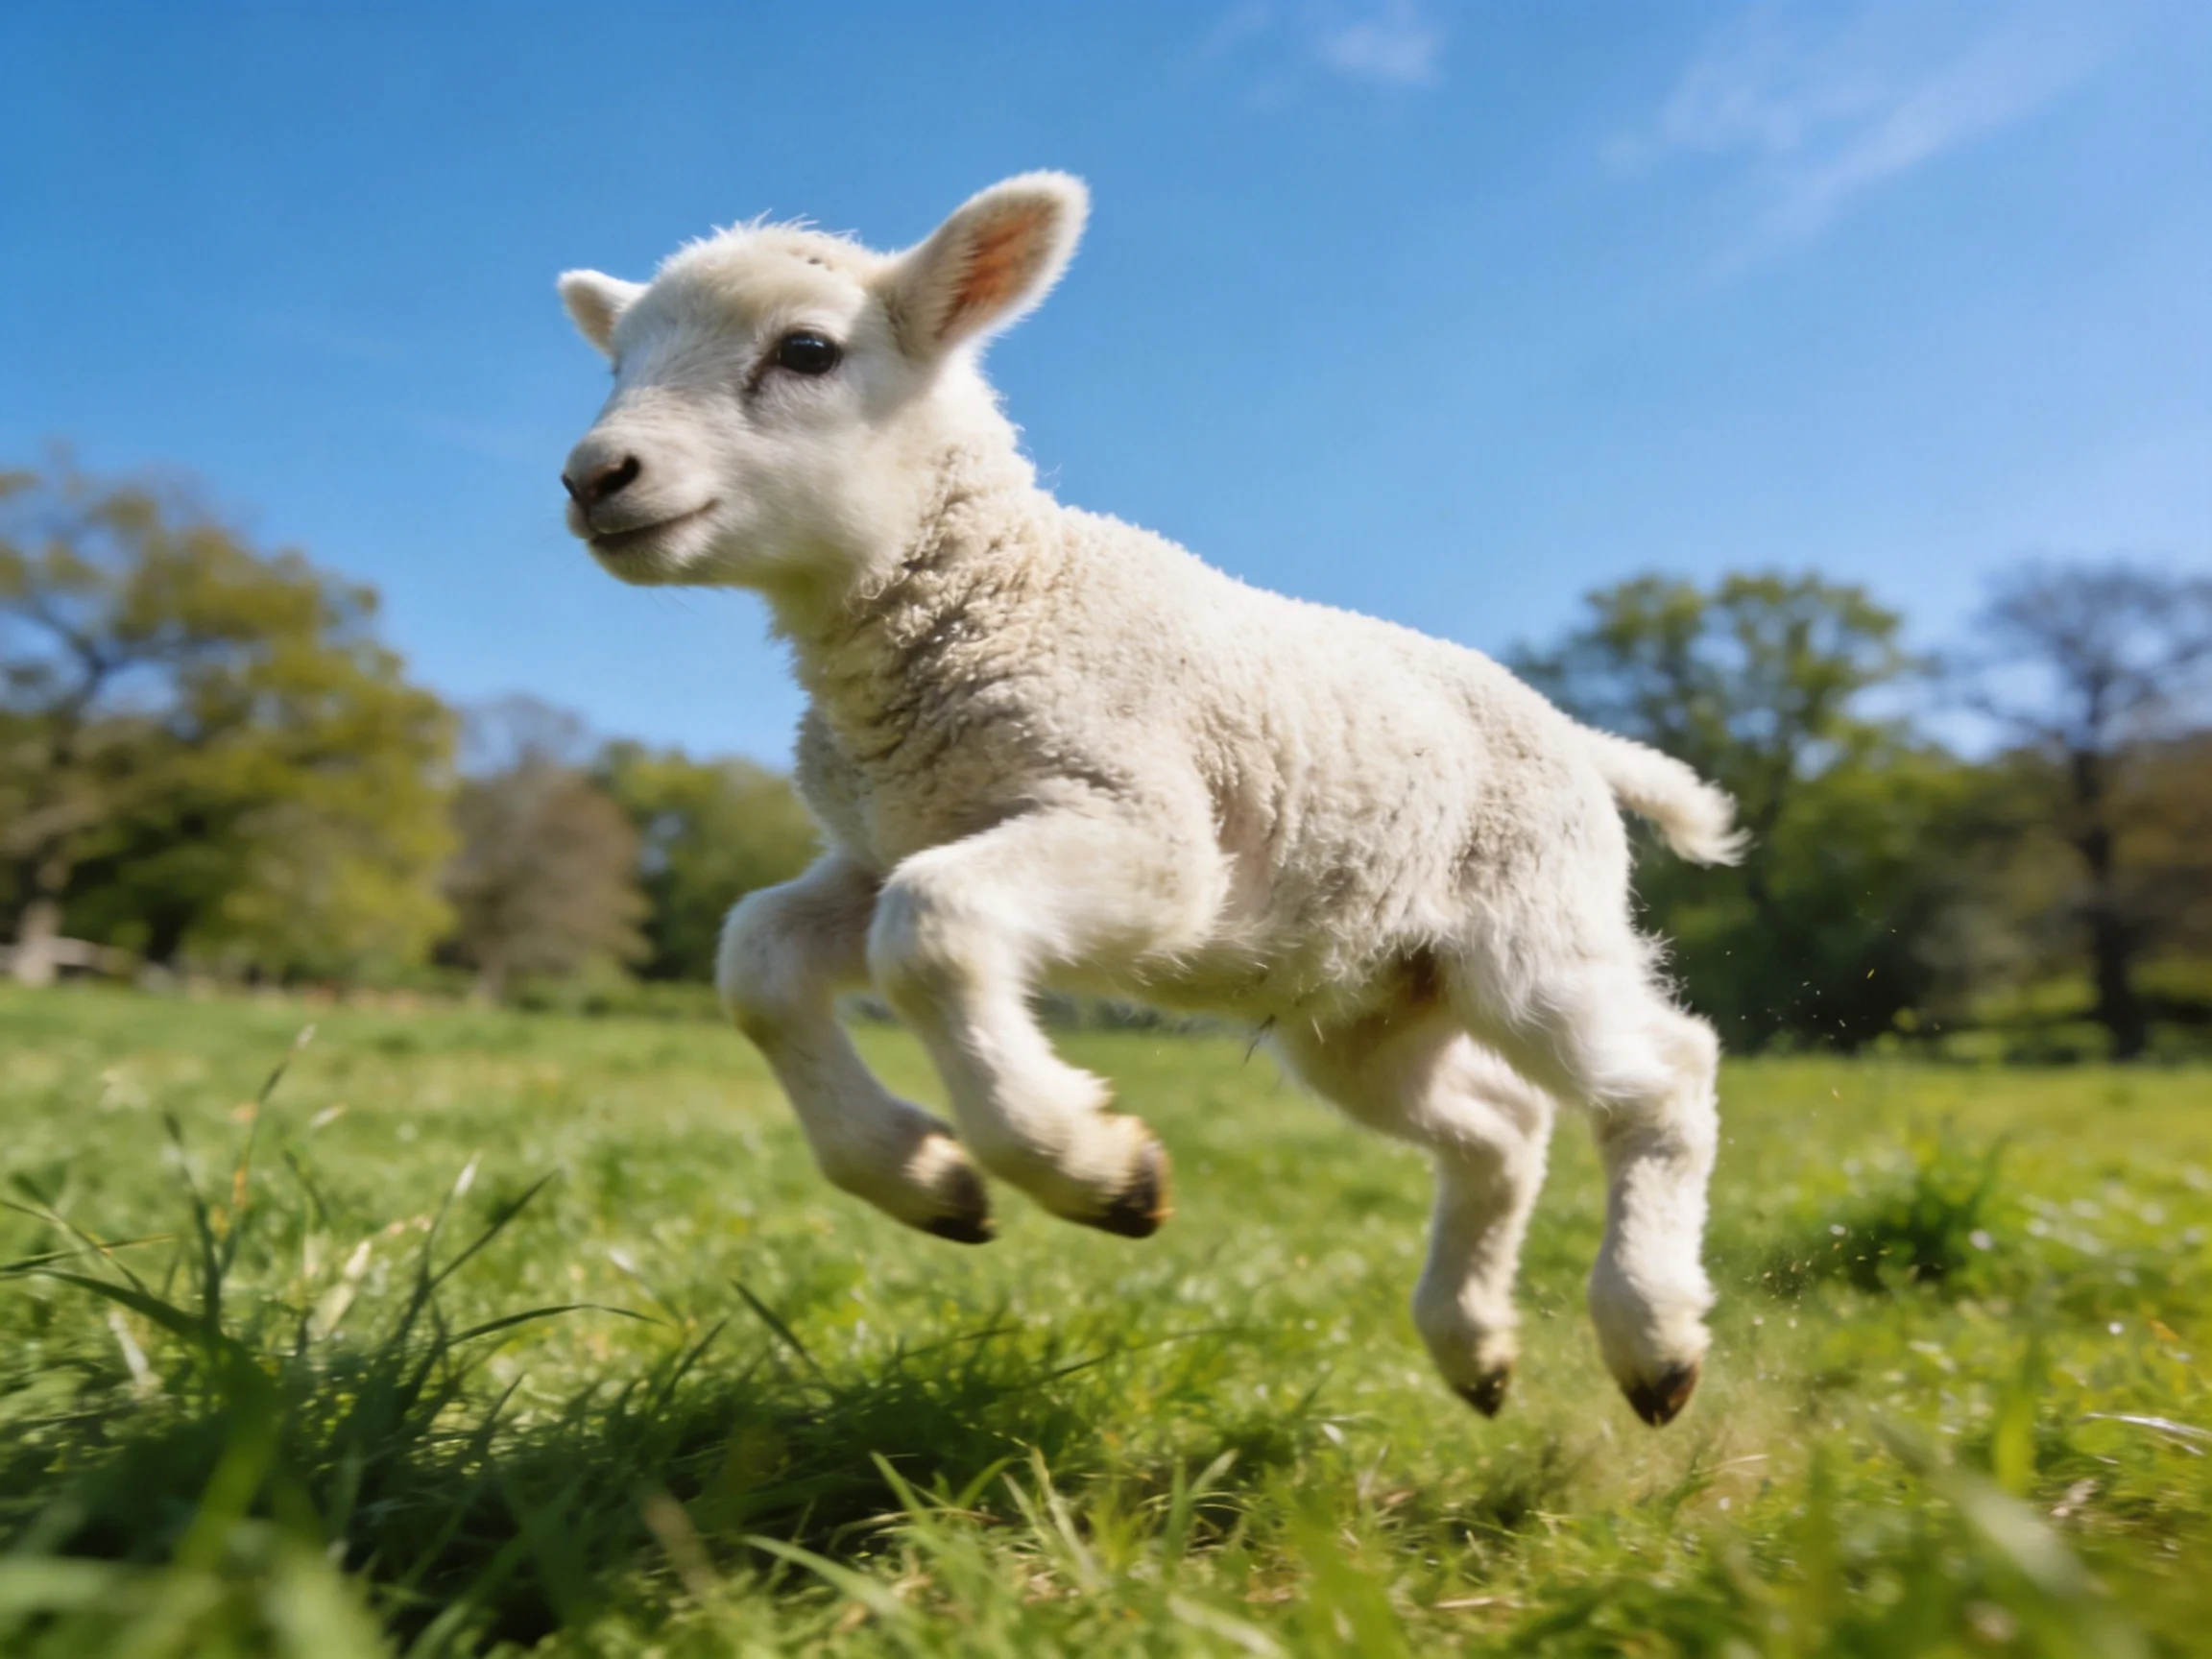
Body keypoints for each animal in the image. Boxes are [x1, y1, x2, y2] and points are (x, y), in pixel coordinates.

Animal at [554, 174, 1745, 1427]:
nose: (594, 477)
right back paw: (1475, 1347)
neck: (995, 593)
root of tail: (1578, 740)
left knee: (1664, 1079)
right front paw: (923, 1180)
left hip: (1532, 927)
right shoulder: (882, 843)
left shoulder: (1151, 835)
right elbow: (757, 958)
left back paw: (1652, 1336)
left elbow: (930, 931)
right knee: (1499, 1129)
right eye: (617, 361)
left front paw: (1089, 1167)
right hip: (1364, 1001)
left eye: (808, 351)